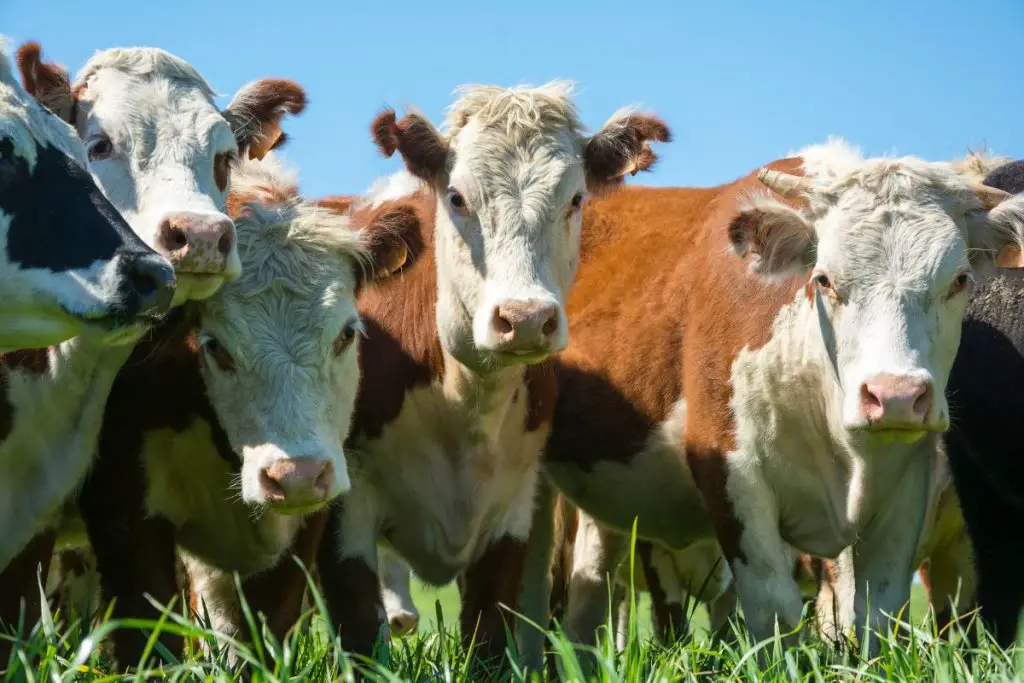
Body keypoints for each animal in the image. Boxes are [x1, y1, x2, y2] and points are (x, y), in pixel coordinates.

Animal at [313, 81, 671, 667]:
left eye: (576, 199)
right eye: (457, 198)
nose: (524, 318)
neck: (466, 401)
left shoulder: (513, 516)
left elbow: (489, 639)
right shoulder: (344, 513)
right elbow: (363, 638)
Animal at [528, 136, 1024, 659]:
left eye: (960, 279)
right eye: (824, 279)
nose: (895, 396)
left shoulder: (906, 486)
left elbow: (877, 614)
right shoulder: (731, 474)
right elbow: (775, 611)